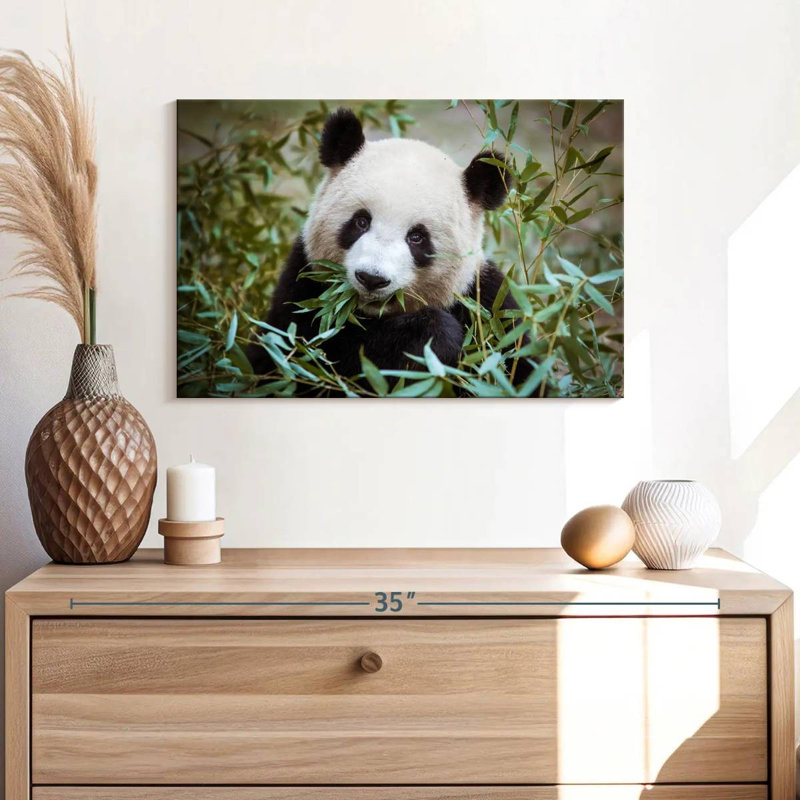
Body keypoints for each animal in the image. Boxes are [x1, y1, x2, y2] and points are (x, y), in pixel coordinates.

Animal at [251, 107, 532, 384]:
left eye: (417, 237)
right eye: (361, 221)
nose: (372, 278)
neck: (373, 315)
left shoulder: (489, 305)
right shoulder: (304, 288)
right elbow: (308, 358)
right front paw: (435, 337)